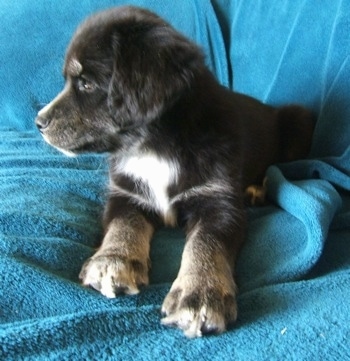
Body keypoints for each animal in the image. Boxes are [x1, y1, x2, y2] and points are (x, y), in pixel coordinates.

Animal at [35, 6, 314, 338]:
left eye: (86, 84)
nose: (38, 123)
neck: (154, 146)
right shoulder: (125, 193)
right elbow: (123, 224)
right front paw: (113, 260)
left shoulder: (219, 201)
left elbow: (206, 243)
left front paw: (200, 294)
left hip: (299, 122)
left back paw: (256, 189)